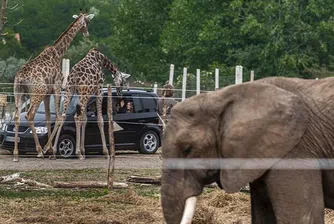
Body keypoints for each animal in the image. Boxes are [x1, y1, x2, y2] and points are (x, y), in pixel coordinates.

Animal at [12, 10, 94, 162]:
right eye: (87, 22)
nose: (87, 34)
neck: (59, 53)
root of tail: (20, 78)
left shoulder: (48, 93)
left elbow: (49, 117)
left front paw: (50, 149)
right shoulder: (56, 87)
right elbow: (59, 116)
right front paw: (49, 150)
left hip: (19, 92)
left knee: (16, 117)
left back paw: (15, 154)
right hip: (37, 91)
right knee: (29, 115)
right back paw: (39, 150)